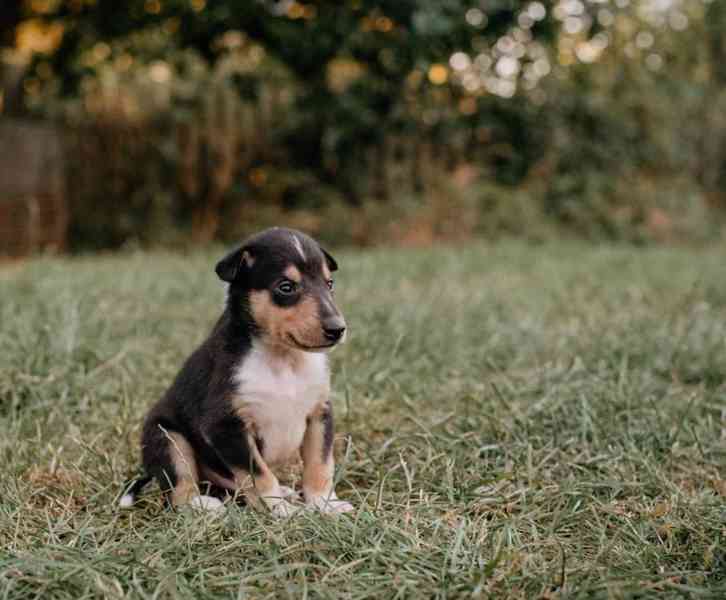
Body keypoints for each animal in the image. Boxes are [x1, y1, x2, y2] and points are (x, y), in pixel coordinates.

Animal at [121, 227, 354, 512]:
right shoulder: (226, 425)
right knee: (179, 489)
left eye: (329, 284)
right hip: (167, 437)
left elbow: (320, 464)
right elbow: (259, 474)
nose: (337, 329)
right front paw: (279, 510)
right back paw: (205, 506)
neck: (283, 359)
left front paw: (325, 504)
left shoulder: (319, 413)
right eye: (286, 287)